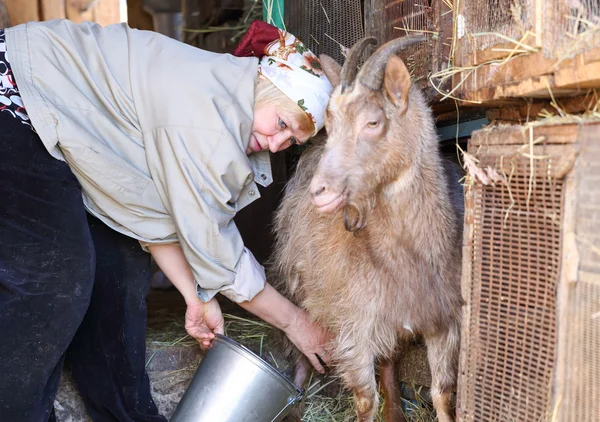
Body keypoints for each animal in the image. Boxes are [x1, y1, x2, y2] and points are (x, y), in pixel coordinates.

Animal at [270, 36, 464, 422]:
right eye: (330, 123)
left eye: (373, 122)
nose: (319, 190)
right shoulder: (353, 325)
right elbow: (363, 400)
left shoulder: (443, 321)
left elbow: (442, 393)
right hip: (296, 285)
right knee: (300, 351)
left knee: (388, 360)